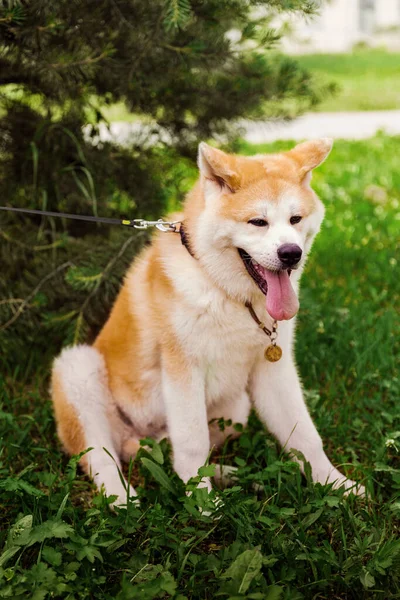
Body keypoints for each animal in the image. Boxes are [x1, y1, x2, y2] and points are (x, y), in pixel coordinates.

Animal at [51, 141, 364, 502]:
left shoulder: (274, 370)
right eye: (258, 222)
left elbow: (304, 436)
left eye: (295, 219)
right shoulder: (183, 370)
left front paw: (336, 484)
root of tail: (135, 436)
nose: (291, 253)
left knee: (161, 451)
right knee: (103, 459)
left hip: (236, 406)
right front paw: (202, 503)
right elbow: (192, 444)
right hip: (79, 370)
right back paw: (123, 499)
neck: (230, 296)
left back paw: (227, 474)